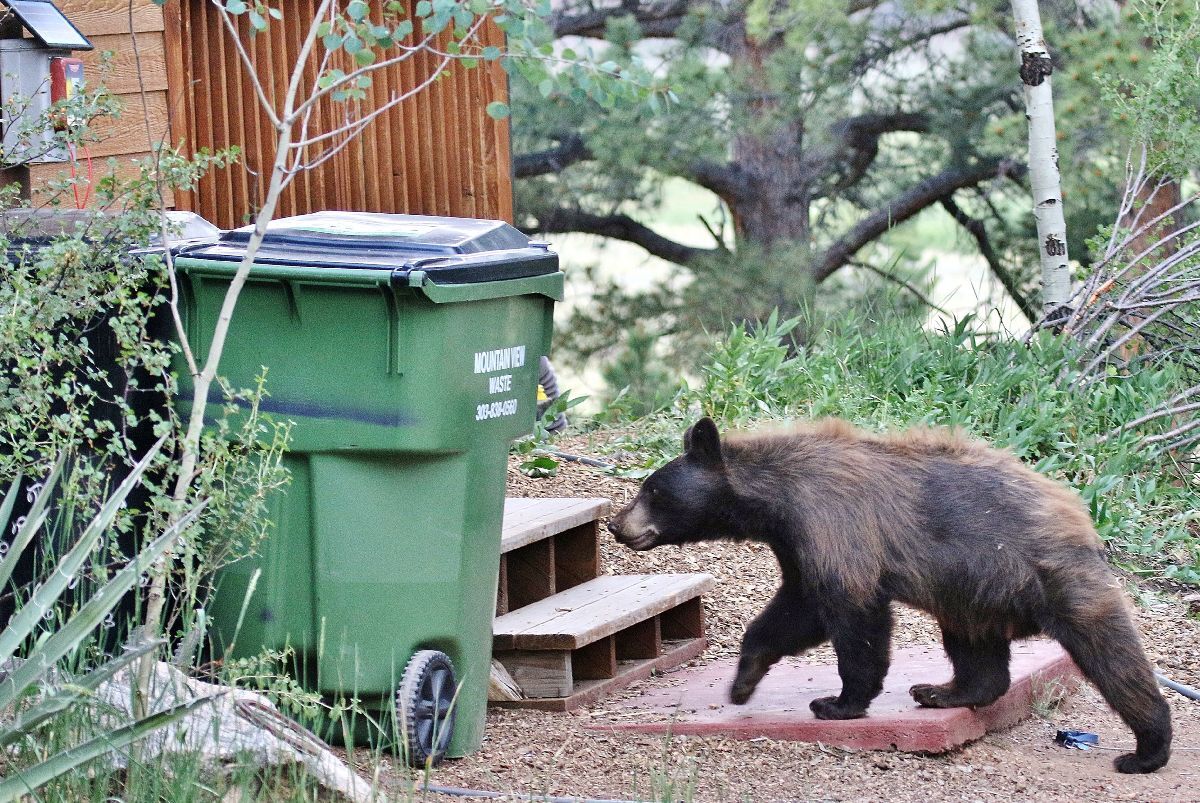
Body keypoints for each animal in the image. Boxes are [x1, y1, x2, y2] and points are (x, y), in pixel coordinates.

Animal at [608, 417, 1172, 774]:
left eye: (652, 490)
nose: (616, 525)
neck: (776, 497)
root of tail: (1077, 512)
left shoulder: (836, 525)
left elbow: (852, 615)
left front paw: (838, 702)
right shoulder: (799, 543)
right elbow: (796, 610)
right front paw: (743, 682)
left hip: (1051, 576)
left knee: (1112, 655)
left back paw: (1146, 749)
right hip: (972, 590)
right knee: (975, 646)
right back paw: (944, 691)